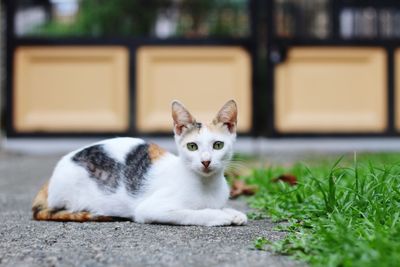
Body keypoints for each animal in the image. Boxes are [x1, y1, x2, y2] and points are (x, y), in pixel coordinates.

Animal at [32, 101, 247, 228]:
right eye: (192, 146)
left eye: (218, 145)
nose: (205, 161)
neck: (207, 185)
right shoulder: (150, 209)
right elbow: (192, 214)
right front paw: (218, 216)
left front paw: (232, 212)